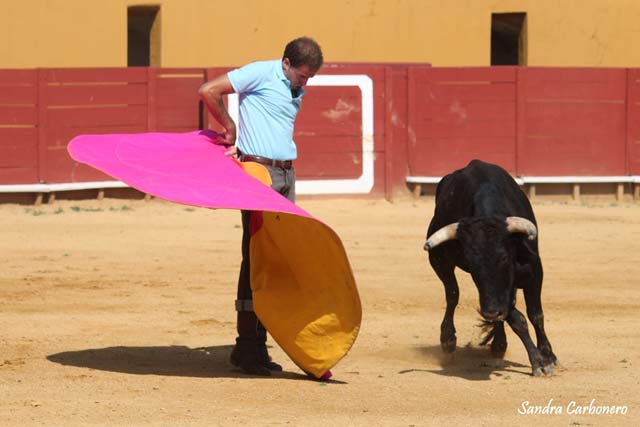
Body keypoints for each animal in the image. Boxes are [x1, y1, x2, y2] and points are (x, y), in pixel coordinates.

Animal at [428, 160, 556, 378]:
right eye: (472, 263)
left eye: (503, 257)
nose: (489, 313)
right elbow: (517, 318)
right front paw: (538, 361)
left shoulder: (533, 271)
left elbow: (535, 314)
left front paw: (548, 356)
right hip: (440, 262)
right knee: (452, 294)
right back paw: (450, 340)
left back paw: (498, 343)